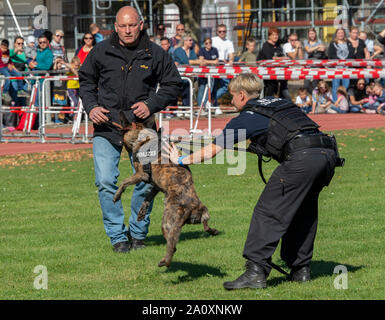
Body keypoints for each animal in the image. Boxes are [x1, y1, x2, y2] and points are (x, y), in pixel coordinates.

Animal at [112, 112, 218, 268]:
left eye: (125, 121)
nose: (118, 112)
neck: (144, 138)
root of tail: (193, 206)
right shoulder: (155, 185)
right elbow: (147, 198)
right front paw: (141, 213)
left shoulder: (141, 175)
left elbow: (124, 182)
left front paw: (117, 195)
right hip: (200, 218)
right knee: (204, 227)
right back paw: (213, 231)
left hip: (167, 222)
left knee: (172, 245)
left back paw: (165, 262)